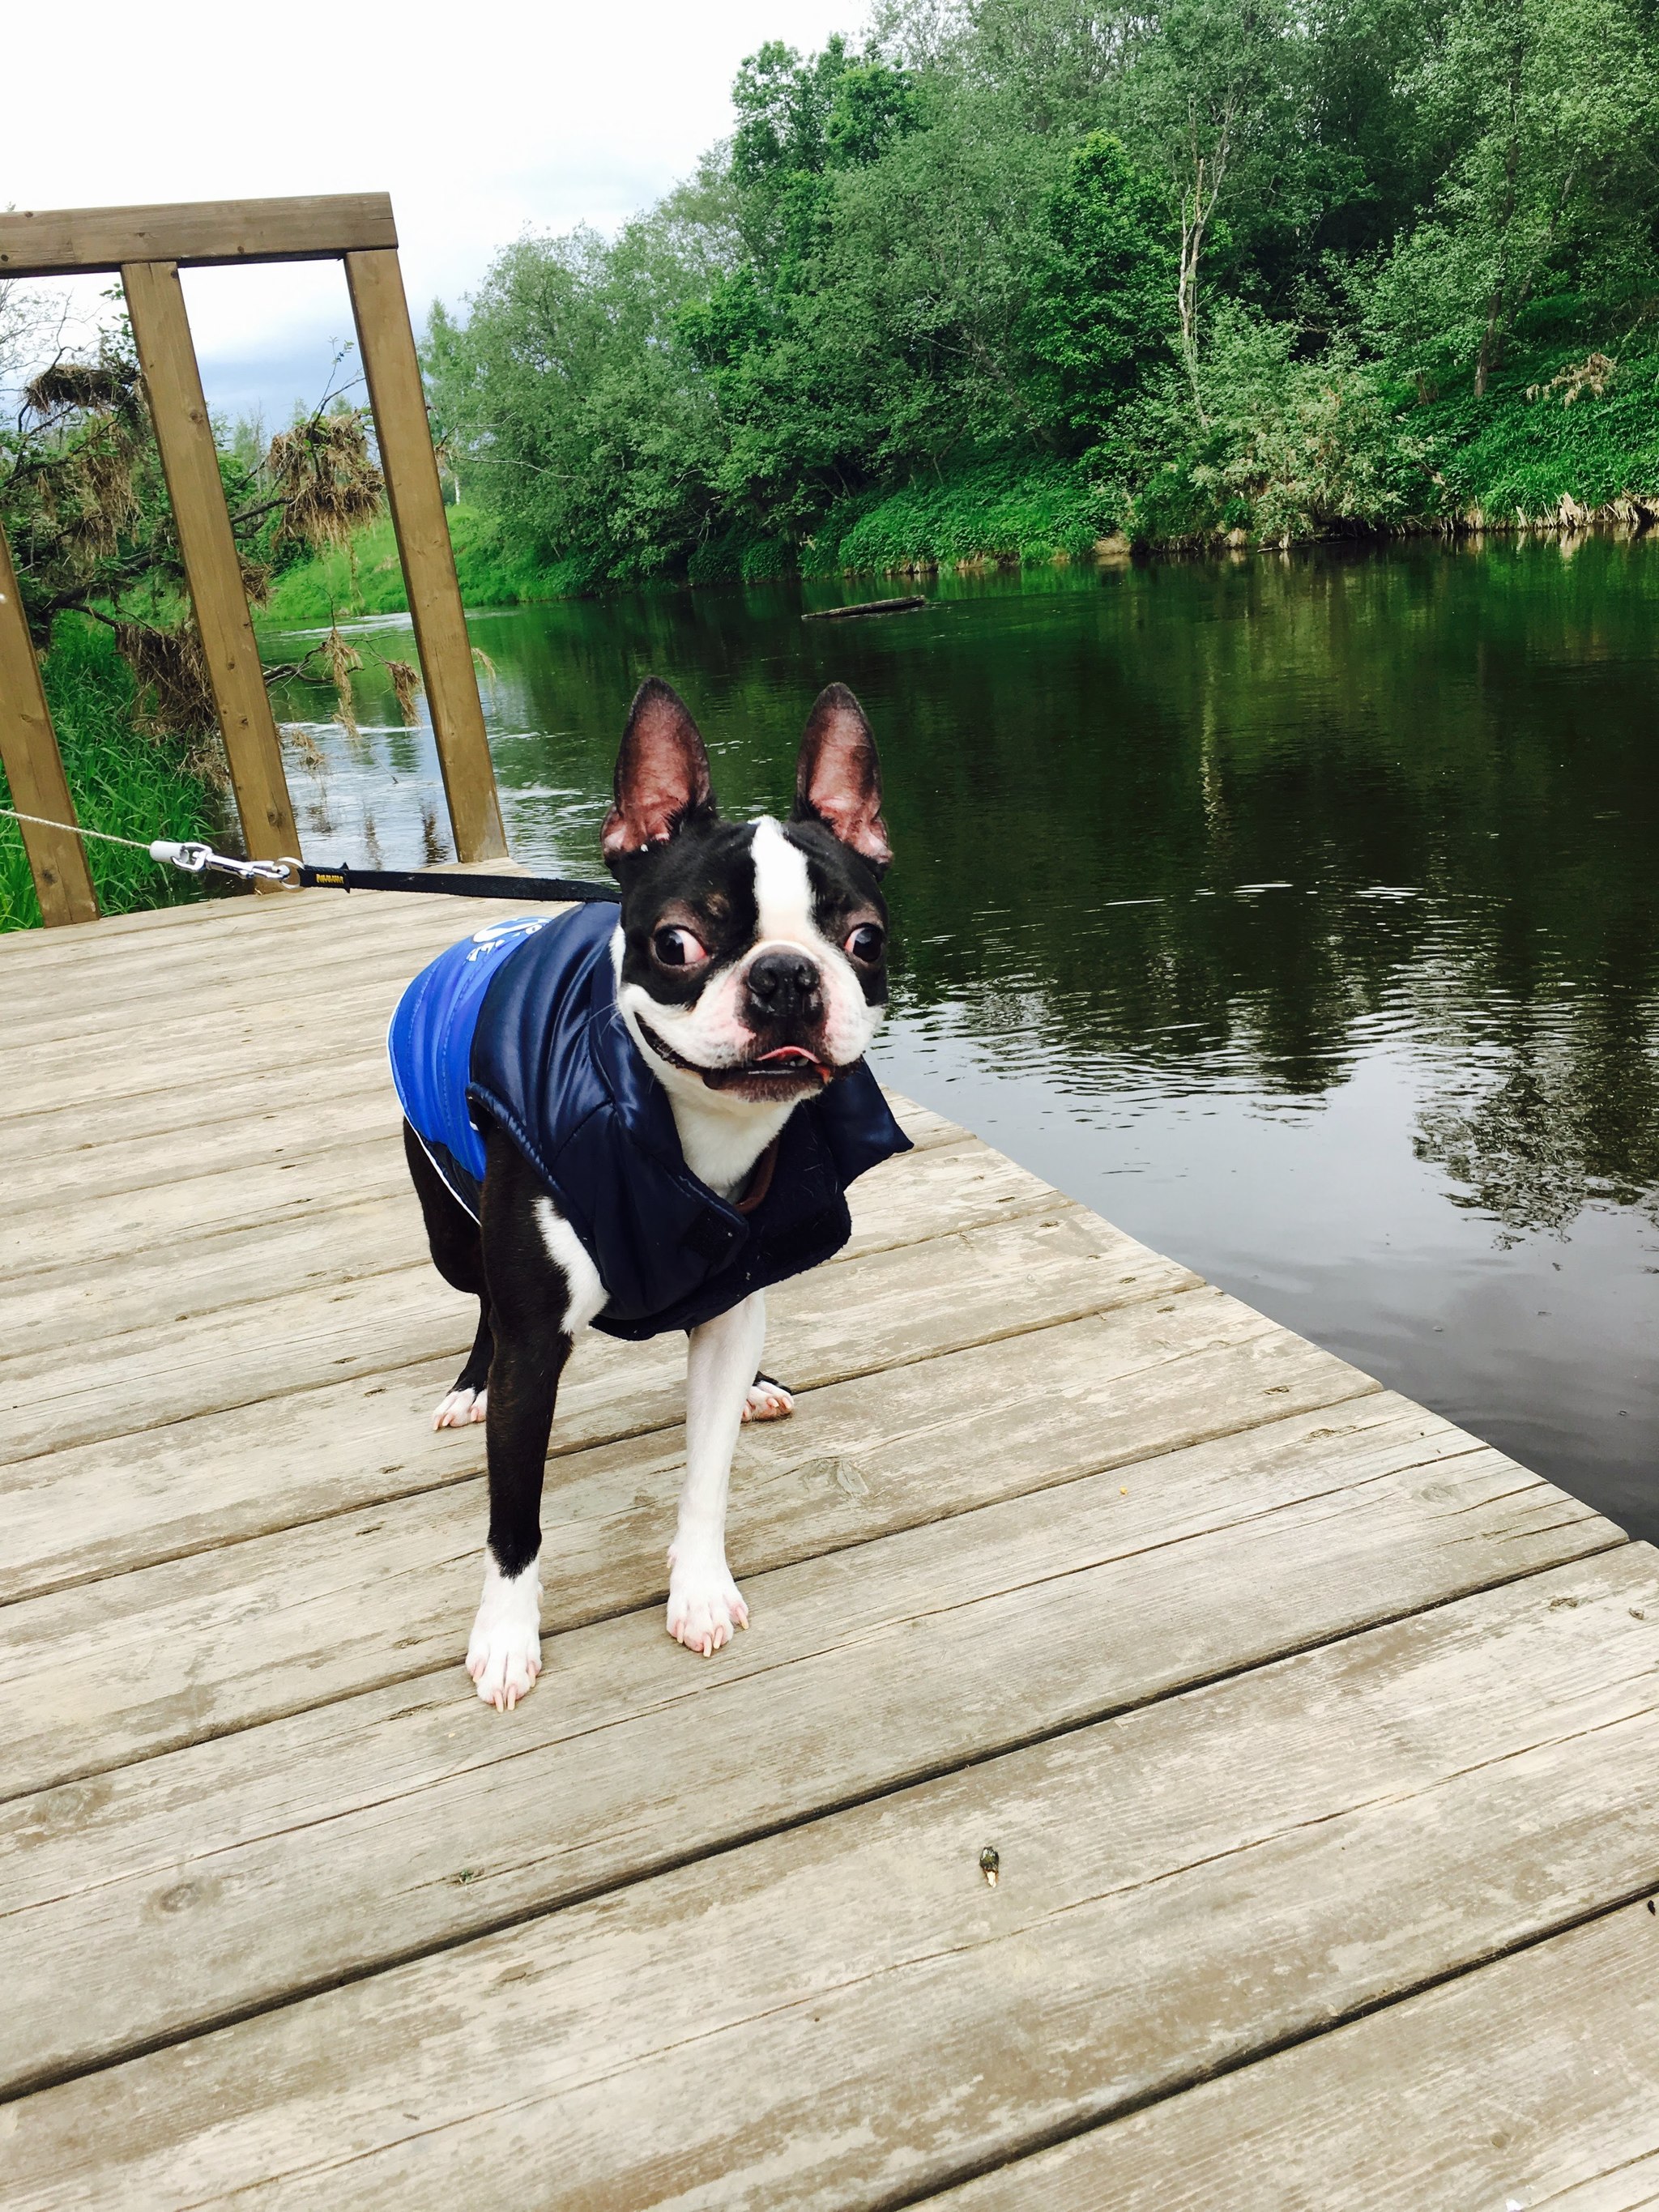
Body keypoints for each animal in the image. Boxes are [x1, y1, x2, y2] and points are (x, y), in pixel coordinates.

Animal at [389, 672, 911, 1707]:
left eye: (864, 938)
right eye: (675, 943)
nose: (785, 976)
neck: (683, 1138)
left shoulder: (730, 1299)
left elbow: (705, 1475)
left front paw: (699, 1589)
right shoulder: (535, 1347)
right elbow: (514, 1516)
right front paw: (504, 1636)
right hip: (452, 1230)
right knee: (481, 1303)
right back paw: (468, 1385)